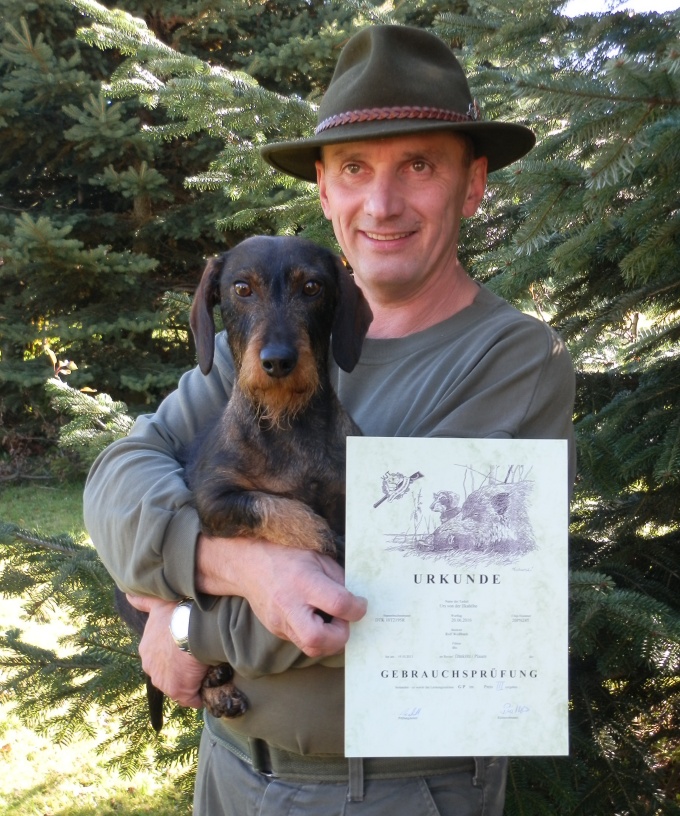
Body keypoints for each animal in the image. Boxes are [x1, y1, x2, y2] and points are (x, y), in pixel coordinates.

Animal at [117, 235, 372, 728]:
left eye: (312, 287)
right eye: (241, 288)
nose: (278, 361)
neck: (286, 422)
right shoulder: (216, 501)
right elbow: (284, 510)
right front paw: (331, 541)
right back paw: (218, 687)